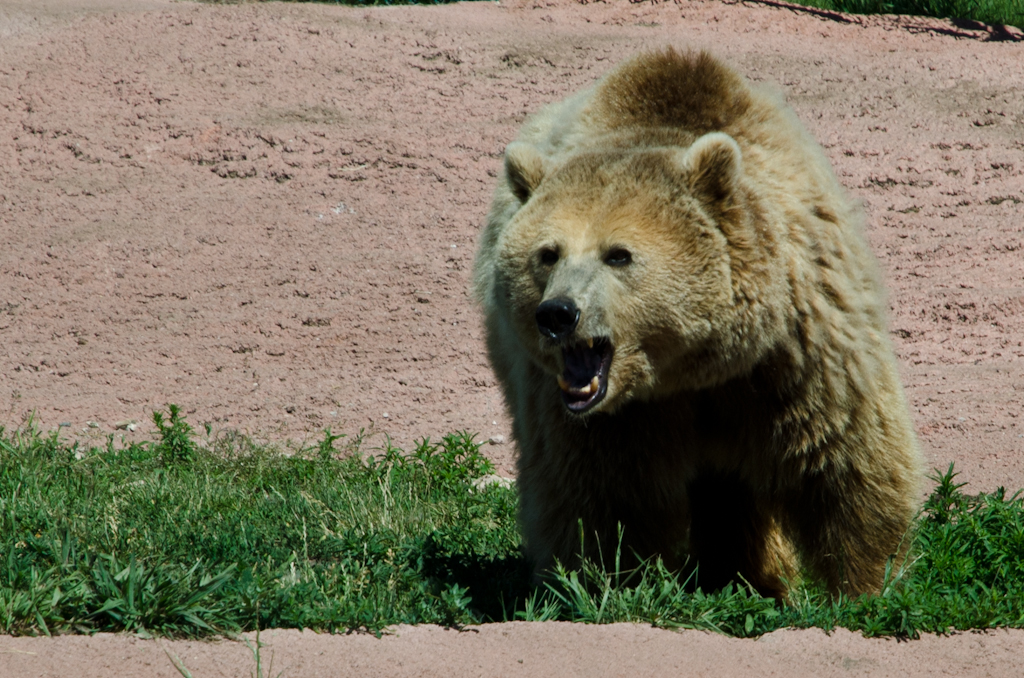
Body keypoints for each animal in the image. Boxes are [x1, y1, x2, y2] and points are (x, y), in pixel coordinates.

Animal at [475, 49, 925, 602]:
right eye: (548, 253)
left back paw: (752, 575)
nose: (558, 313)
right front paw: (597, 580)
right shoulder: (608, 418)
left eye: (618, 254)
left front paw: (868, 583)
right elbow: (598, 495)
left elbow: (841, 458)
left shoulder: (794, 354)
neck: (691, 368)